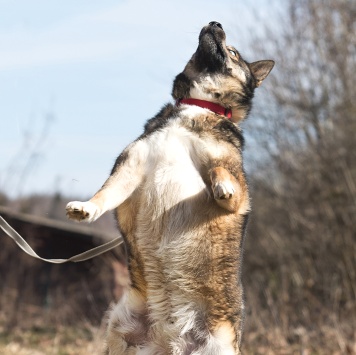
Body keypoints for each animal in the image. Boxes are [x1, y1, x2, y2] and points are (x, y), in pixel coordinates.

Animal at [65, 22, 274, 355]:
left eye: (233, 52)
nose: (215, 23)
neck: (196, 107)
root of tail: (169, 339)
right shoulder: (130, 166)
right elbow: (106, 192)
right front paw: (86, 208)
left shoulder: (235, 182)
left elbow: (220, 170)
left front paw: (222, 186)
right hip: (119, 325)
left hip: (220, 347)